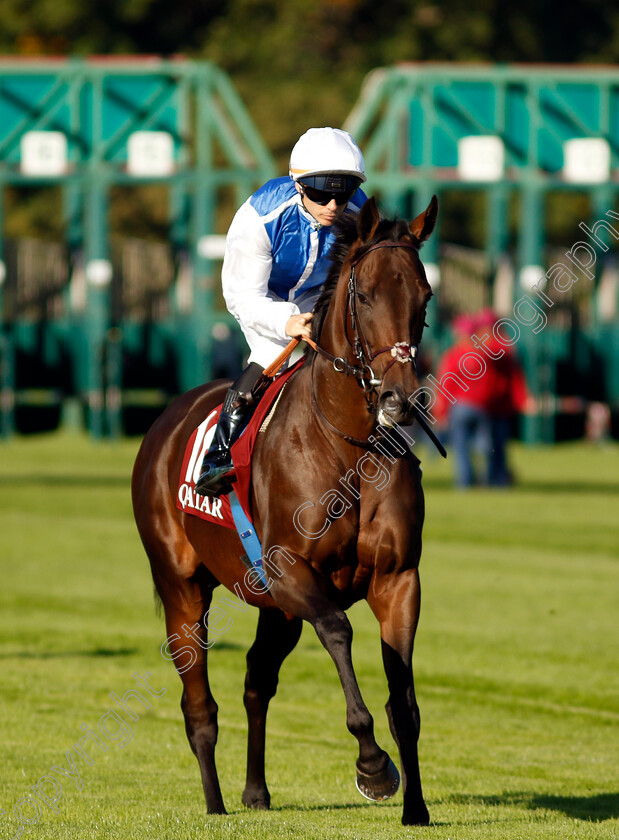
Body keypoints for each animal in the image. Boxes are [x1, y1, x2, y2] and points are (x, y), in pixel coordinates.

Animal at [132, 192, 436, 828]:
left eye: (424, 298)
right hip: (182, 587)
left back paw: (255, 791)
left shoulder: (399, 579)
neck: (349, 446)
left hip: (275, 608)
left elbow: (404, 698)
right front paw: (373, 765)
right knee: (199, 705)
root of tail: (166, 418)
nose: (399, 398)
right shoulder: (293, 571)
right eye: (365, 295)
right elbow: (340, 630)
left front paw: (416, 807)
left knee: (256, 680)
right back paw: (216, 804)